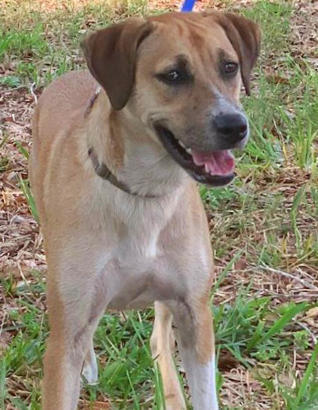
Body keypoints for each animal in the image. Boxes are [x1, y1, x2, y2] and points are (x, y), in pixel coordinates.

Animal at [29, 10, 260, 410]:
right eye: (174, 75)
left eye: (229, 67)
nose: (234, 125)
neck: (143, 193)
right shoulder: (66, 334)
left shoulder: (194, 312)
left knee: (158, 338)